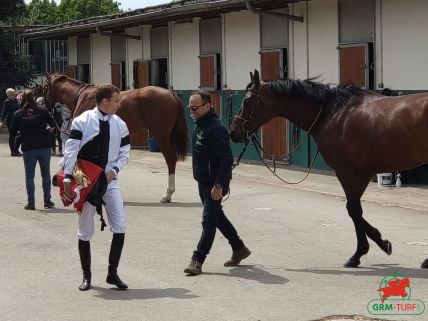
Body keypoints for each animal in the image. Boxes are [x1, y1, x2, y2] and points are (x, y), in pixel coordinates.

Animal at [43, 74, 187, 201]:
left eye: (44, 87)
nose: (45, 106)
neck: (82, 96)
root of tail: (171, 94)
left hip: (161, 135)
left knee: (170, 159)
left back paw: (167, 194)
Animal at [231, 69, 428, 268]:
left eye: (246, 101)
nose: (233, 132)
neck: (333, 113)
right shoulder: (360, 174)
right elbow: (355, 211)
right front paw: (378, 243)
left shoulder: (348, 172)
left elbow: (353, 210)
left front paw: (361, 252)